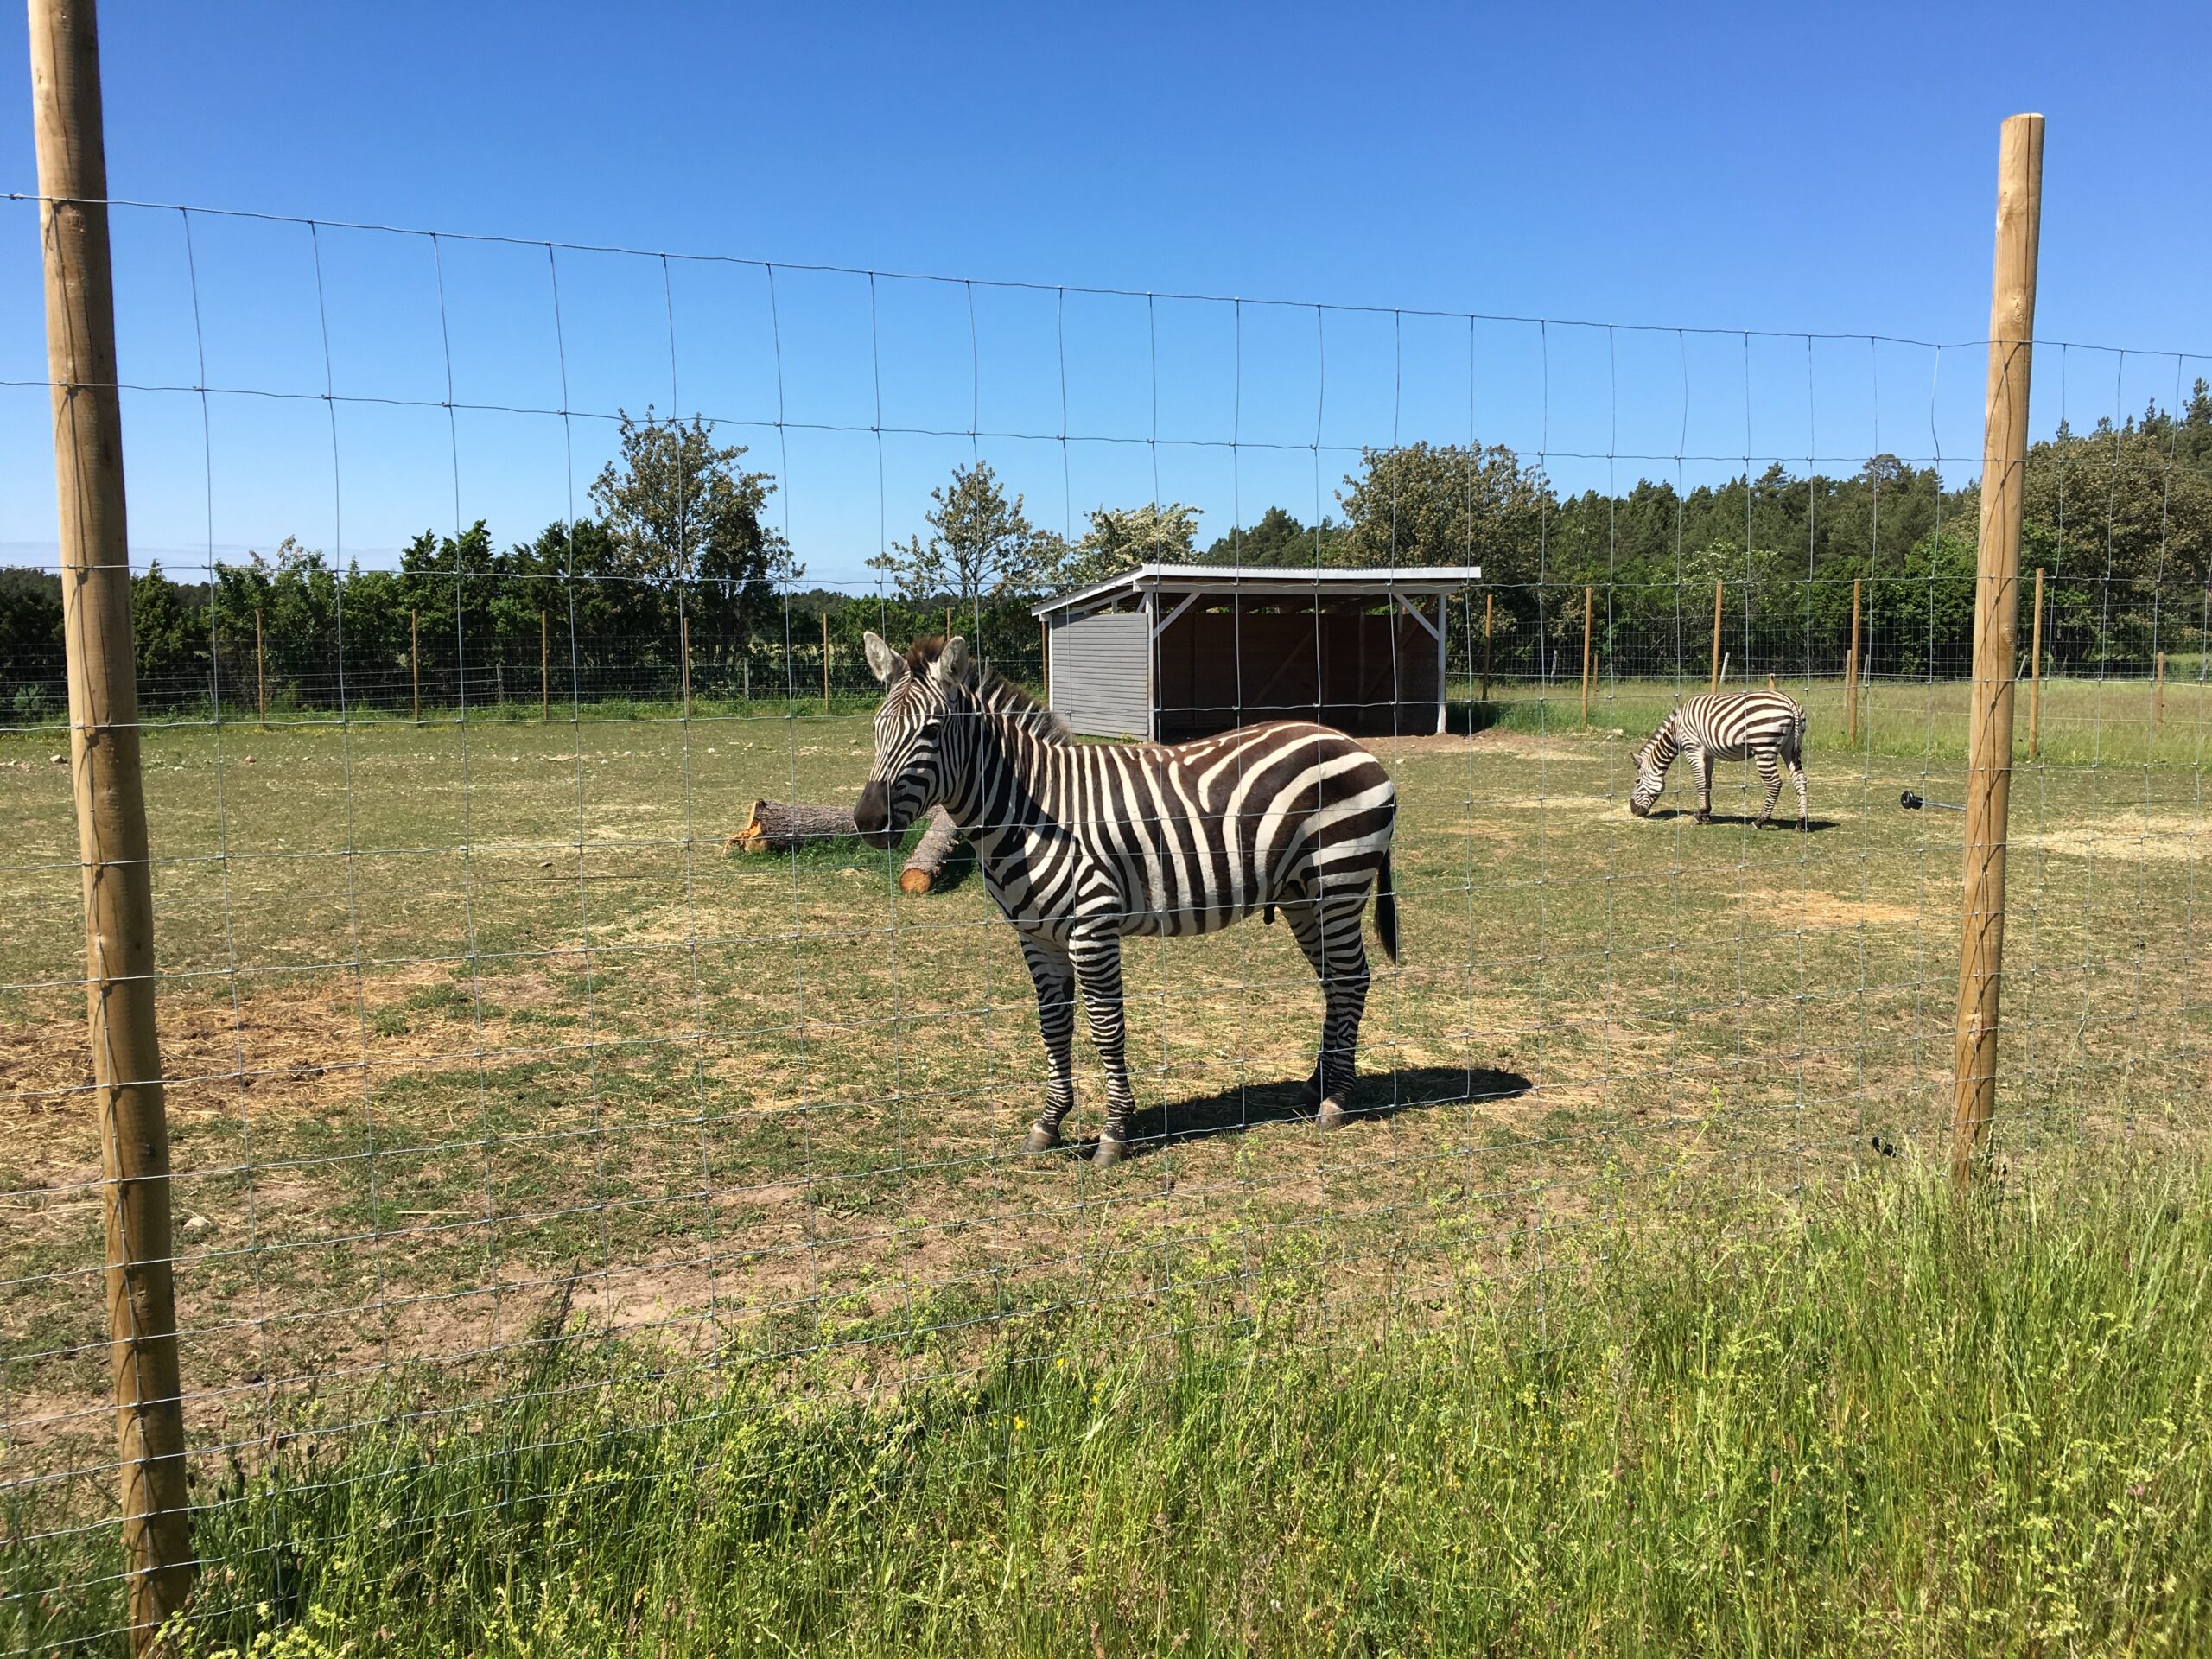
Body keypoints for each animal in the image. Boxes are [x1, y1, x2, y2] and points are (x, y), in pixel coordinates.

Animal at [854, 632, 1398, 1168]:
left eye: (932, 730)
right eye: (877, 729)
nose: (868, 822)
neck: (1031, 811)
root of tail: (1350, 743)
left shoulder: (1092, 927)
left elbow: (1106, 1027)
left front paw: (1114, 1132)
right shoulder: (1036, 937)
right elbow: (1054, 1026)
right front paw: (1048, 1125)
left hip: (1339, 882)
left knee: (1352, 979)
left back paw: (1335, 1101)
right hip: (1302, 896)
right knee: (1335, 983)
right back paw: (1315, 1086)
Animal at [1628, 690, 1809, 829]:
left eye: (1637, 781)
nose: (1633, 810)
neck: (1675, 731)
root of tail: (1790, 702)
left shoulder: (1692, 748)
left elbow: (1700, 782)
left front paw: (1699, 815)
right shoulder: (1708, 754)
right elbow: (1707, 783)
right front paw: (1706, 814)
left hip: (1763, 746)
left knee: (1774, 783)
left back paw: (1759, 821)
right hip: (1790, 748)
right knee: (1800, 779)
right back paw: (1801, 822)